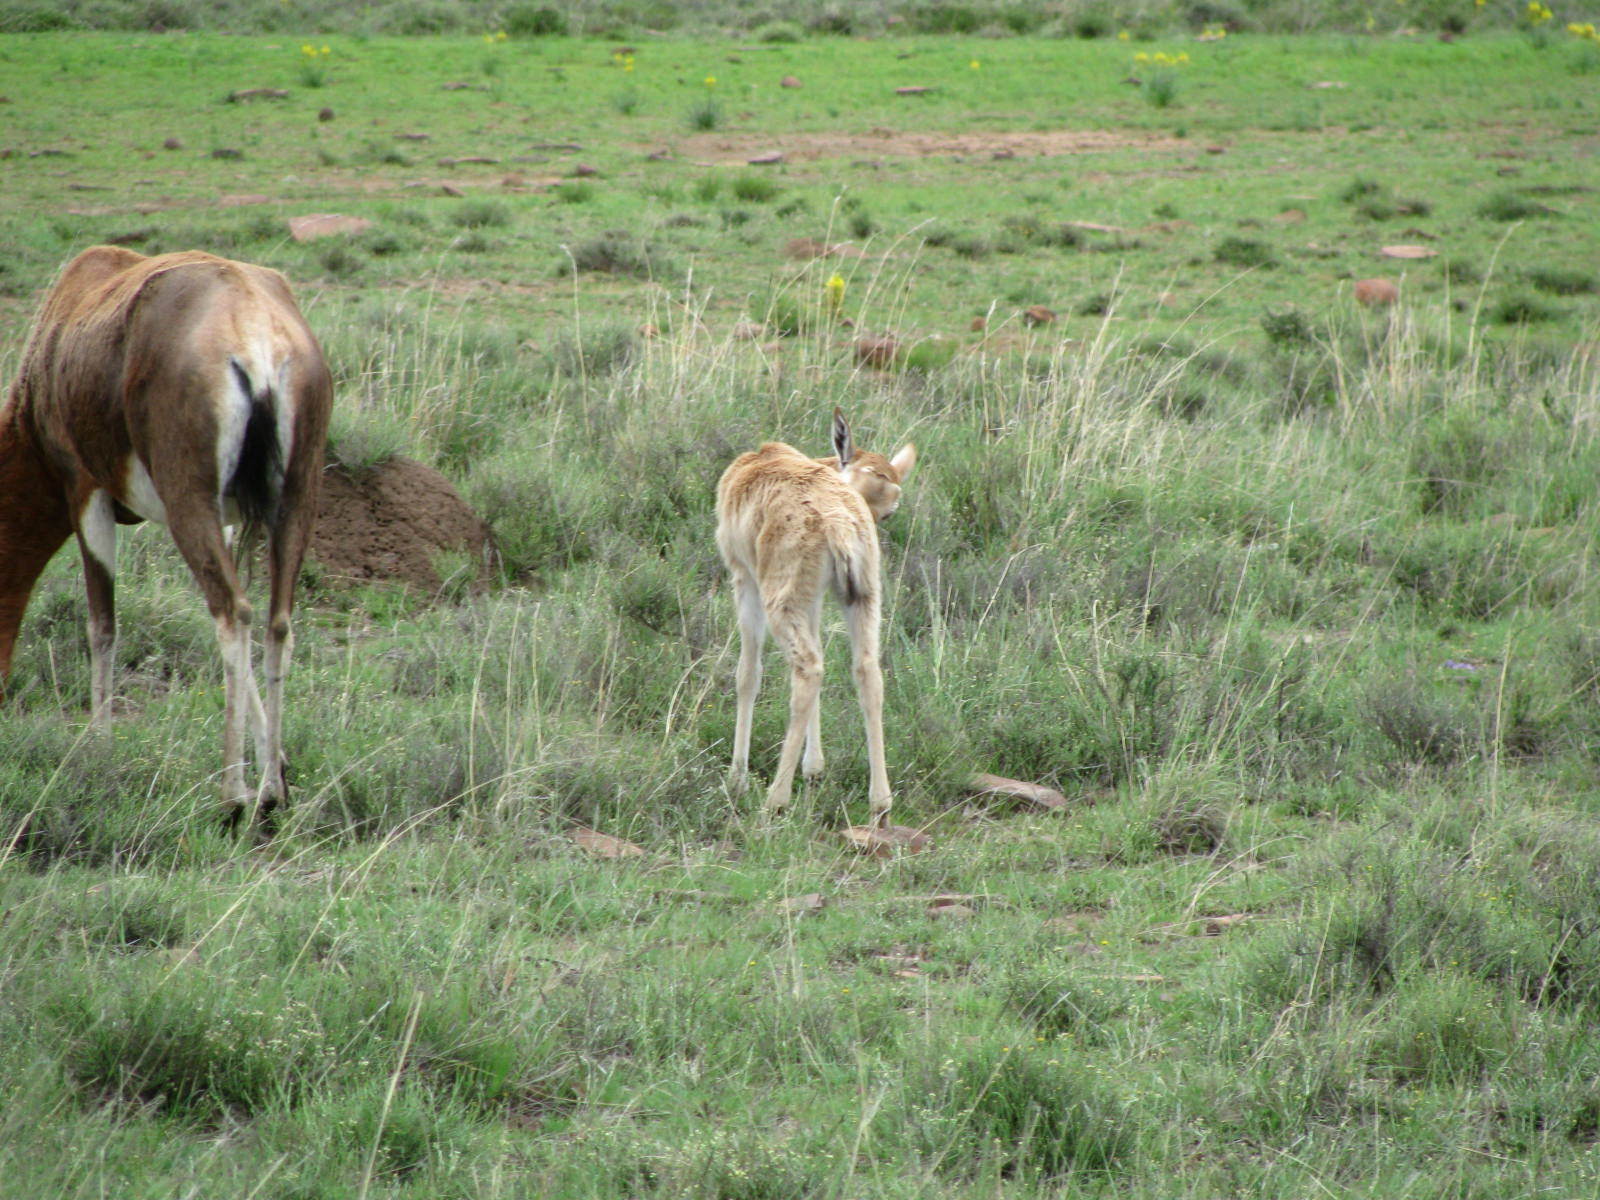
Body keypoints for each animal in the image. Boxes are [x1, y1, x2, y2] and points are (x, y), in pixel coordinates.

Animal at [0, 244, 331, 825]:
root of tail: (252, 329)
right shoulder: (227, 517)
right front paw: (282, 764)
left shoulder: (86, 491)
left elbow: (102, 625)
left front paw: (100, 747)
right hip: (294, 503)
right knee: (274, 622)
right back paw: (271, 793)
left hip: (187, 505)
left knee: (234, 613)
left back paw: (234, 799)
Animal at [713, 409, 915, 825]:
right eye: (889, 512)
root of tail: (838, 519)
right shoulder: (816, 598)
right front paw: (814, 767)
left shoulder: (744, 579)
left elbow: (747, 674)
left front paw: (737, 777)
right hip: (862, 600)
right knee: (866, 671)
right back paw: (880, 801)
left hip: (779, 601)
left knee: (808, 669)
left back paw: (775, 799)